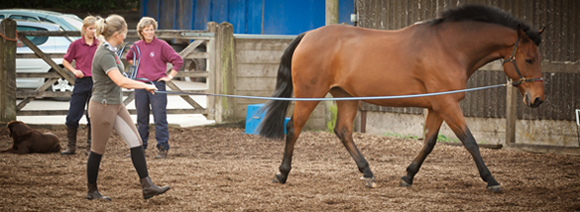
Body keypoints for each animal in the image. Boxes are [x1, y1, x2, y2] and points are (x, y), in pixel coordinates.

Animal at [258, 4, 544, 192]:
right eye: (529, 59)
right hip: (310, 93)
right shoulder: (447, 104)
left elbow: (429, 143)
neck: (450, 47)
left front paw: (408, 177)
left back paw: (368, 173)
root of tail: (308, 35)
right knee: (293, 128)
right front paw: (492, 181)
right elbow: (470, 142)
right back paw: (281, 174)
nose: (538, 99)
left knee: (343, 131)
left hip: (347, 96)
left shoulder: (438, 107)